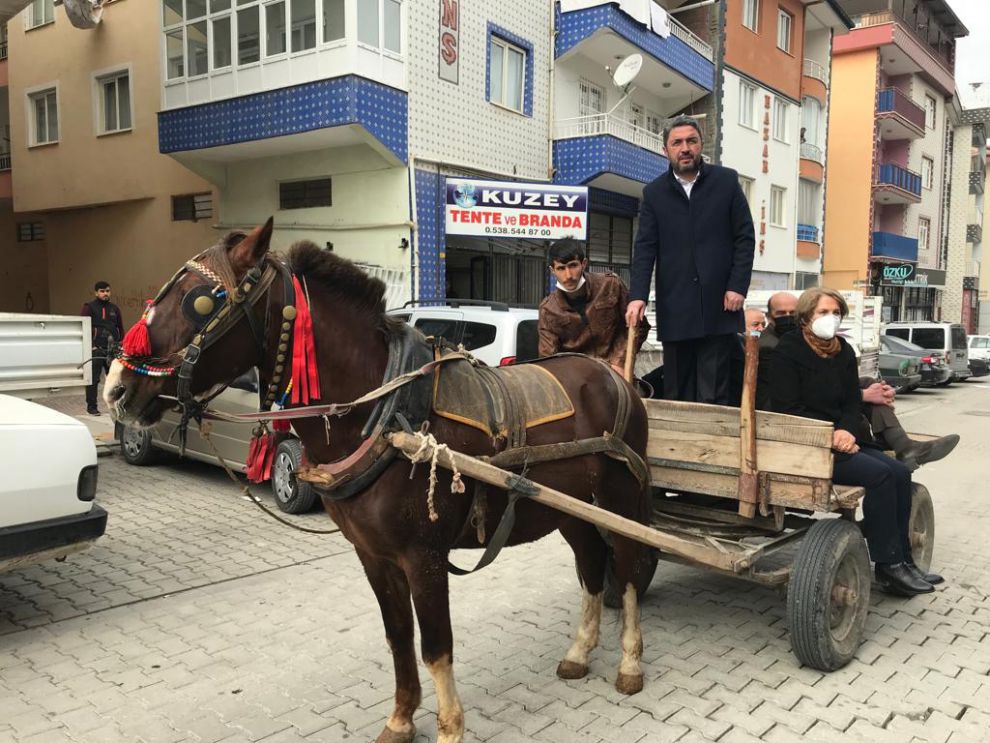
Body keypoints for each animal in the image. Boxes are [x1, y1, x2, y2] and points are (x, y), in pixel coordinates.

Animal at [104, 221, 660, 743]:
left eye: (201, 301)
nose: (117, 388)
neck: (382, 410)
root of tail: (615, 376)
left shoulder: (424, 556)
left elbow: (435, 646)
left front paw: (449, 727)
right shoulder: (373, 554)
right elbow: (397, 638)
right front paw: (400, 719)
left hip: (621, 499)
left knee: (629, 570)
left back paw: (630, 662)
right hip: (571, 507)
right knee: (591, 566)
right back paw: (579, 652)